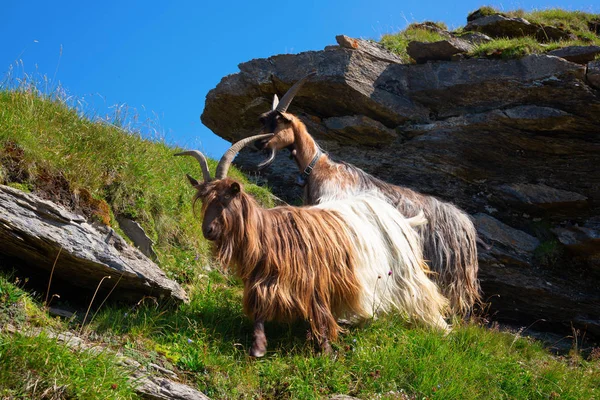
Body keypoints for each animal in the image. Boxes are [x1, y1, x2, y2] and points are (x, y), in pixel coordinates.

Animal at [176, 136, 448, 358]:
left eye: (225, 198)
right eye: (203, 199)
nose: (208, 230)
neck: (269, 233)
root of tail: (399, 217)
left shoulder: (314, 280)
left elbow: (320, 316)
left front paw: (326, 351)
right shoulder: (266, 281)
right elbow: (260, 312)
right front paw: (258, 348)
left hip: (406, 273)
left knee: (424, 297)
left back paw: (441, 329)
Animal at [253, 72, 482, 318]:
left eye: (278, 121)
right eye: (264, 120)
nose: (258, 143)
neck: (319, 168)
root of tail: (466, 225)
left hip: (452, 273)